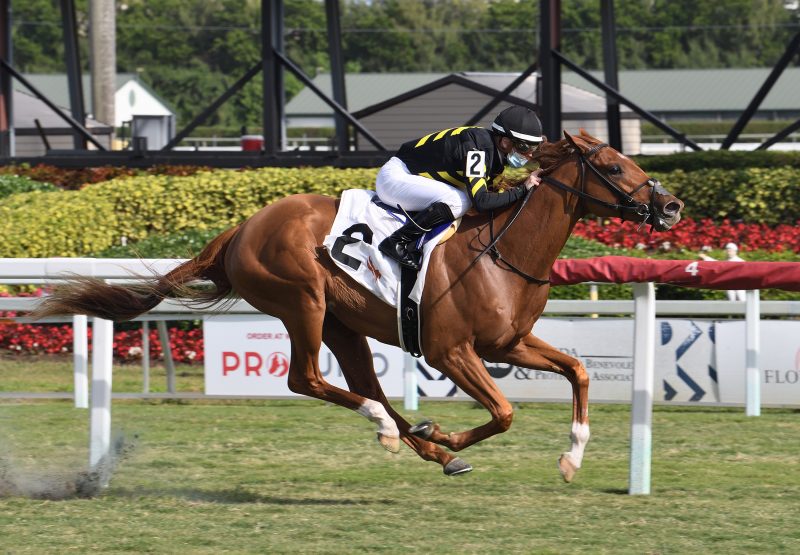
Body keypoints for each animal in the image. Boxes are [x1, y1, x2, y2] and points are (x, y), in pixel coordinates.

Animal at [29, 130, 680, 482]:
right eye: (615, 165)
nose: (671, 207)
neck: (502, 250)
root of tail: (240, 229)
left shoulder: (509, 342)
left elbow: (579, 370)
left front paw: (571, 457)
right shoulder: (450, 350)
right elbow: (503, 412)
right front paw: (450, 436)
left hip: (346, 323)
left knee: (365, 383)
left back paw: (419, 440)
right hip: (303, 301)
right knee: (309, 380)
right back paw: (400, 431)